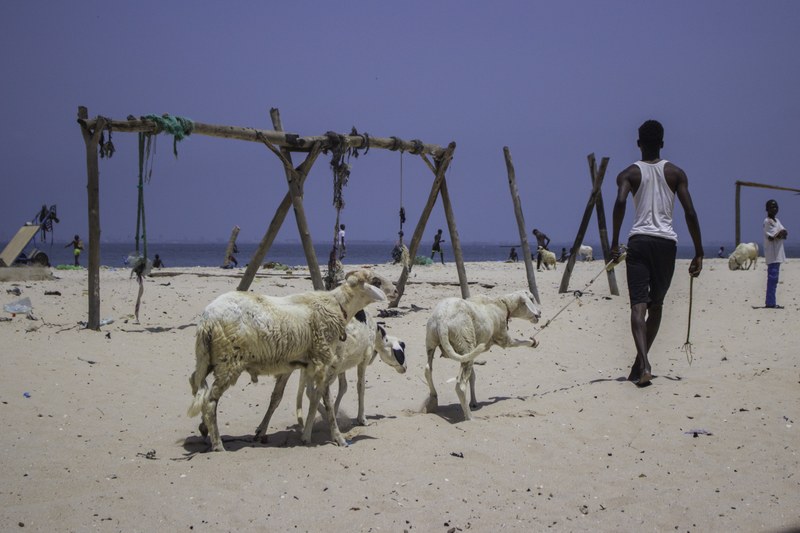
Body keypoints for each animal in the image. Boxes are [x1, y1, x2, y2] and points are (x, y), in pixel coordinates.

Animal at [253, 306, 406, 438]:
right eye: (401, 353)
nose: (405, 368)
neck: (376, 334)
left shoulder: (341, 365)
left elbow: (343, 387)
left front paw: (334, 413)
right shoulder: (362, 360)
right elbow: (360, 387)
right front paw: (361, 419)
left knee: (278, 394)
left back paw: (262, 429)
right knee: (313, 393)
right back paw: (308, 431)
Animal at [422, 290, 540, 420]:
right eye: (531, 299)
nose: (539, 313)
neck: (502, 304)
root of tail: (442, 320)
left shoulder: (472, 355)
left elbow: (472, 377)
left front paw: (473, 402)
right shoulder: (504, 338)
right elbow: (519, 342)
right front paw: (533, 343)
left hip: (432, 341)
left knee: (428, 370)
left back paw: (433, 398)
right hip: (465, 341)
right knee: (460, 386)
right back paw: (470, 418)